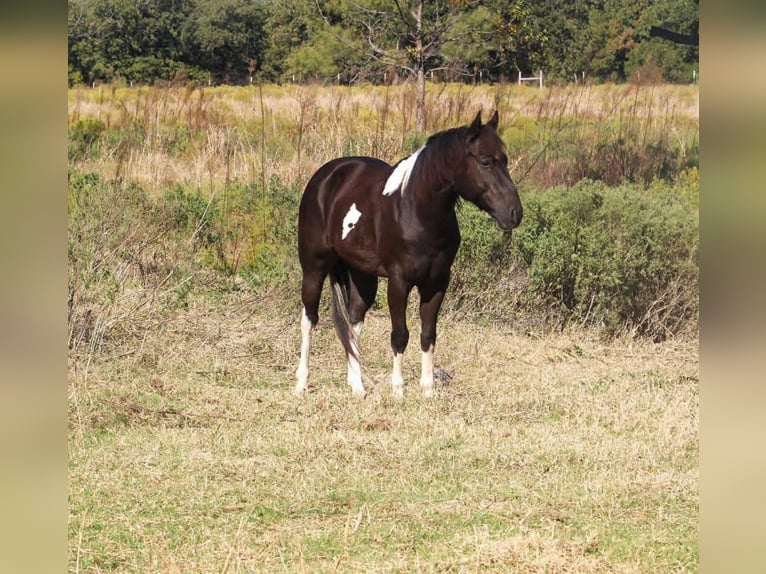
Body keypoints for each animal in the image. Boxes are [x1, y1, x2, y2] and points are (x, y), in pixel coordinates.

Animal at [294, 110, 522, 398]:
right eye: (485, 161)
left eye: (505, 160)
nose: (515, 213)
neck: (417, 213)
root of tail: (326, 176)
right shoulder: (399, 282)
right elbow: (400, 334)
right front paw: (398, 392)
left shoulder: (437, 283)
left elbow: (428, 334)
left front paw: (428, 390)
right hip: (314, 267)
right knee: (309, 319)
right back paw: (301, 384)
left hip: (361, 274)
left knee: (354, 320)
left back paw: (357, 386)